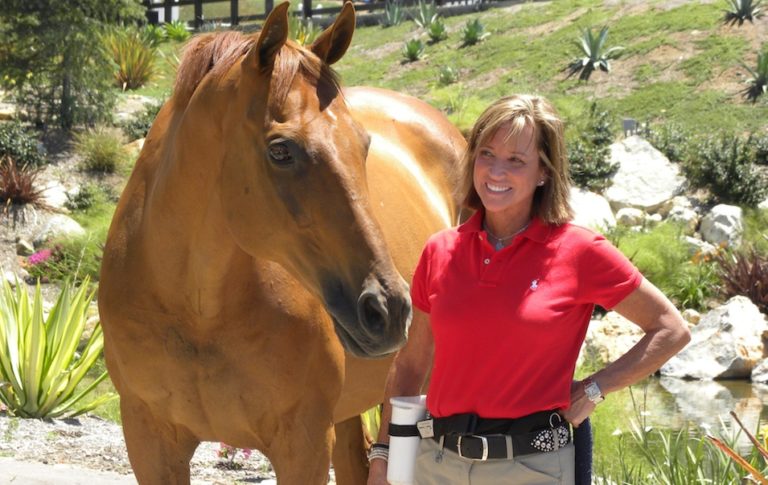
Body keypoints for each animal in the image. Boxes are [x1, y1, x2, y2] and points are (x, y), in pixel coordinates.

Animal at [98, 2, 466, 484]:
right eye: (280, 150)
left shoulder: (302, 444)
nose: (388, 310)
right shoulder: (149, 439)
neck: (197, 311)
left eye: (363, 145)